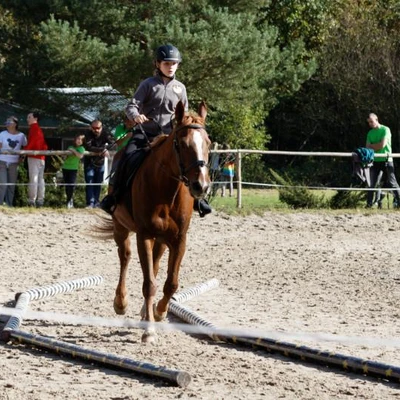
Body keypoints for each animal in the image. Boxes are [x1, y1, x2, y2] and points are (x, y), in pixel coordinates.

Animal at [104, 100, 211, 340]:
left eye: (208, 143)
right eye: (182, 144)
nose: (201, 185)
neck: (165, 189)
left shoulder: (179, 240)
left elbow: (170, 283)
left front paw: (159, 312)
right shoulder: (144, 235)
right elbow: (149, 284)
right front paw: (149, 331)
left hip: (161, 240)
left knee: (155, 263)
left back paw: (147, 311)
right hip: (121, 227)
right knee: (125, 257)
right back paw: (121, 302)